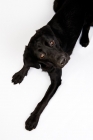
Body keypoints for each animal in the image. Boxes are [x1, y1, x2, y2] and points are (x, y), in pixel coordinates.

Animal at [11, 0, 93, 131]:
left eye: (52, 42)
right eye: (42, 55)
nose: (63, 60)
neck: (45, 64)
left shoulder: (56, 80)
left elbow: (43, 101)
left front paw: (32, 119)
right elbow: (27, 62)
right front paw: (20, 74)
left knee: (87, 25)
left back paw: (84, 39)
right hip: (55, 5)